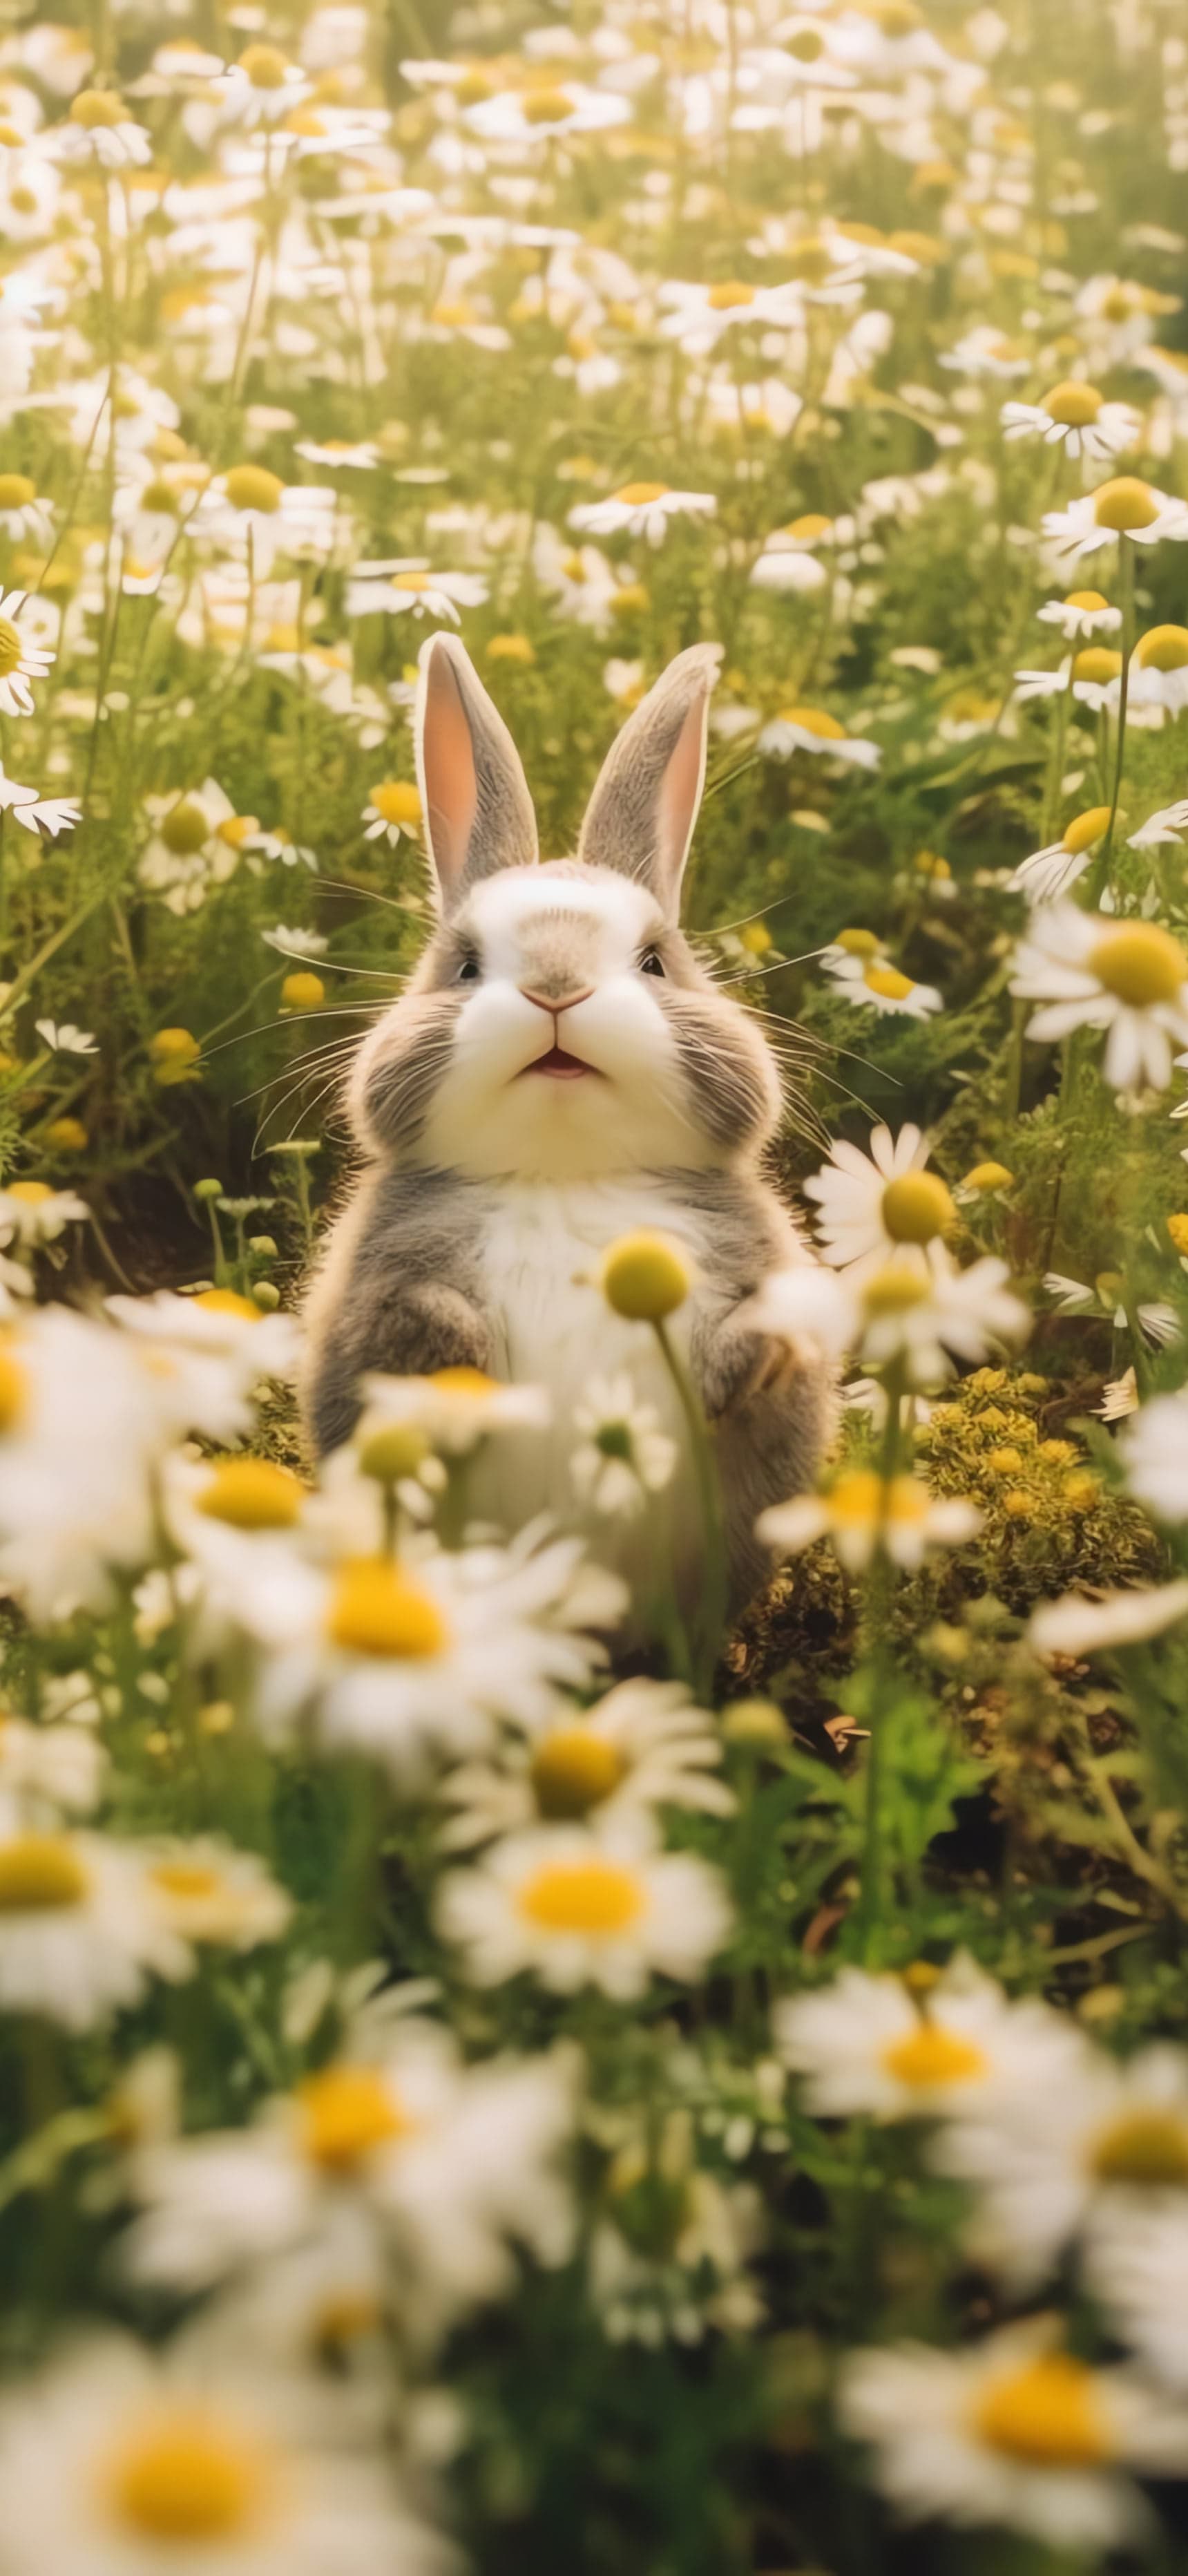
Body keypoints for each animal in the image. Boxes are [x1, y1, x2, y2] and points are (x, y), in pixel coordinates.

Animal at [302, 632, 835, 1611]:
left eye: (656, 962)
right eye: (465, 966)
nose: (557, 988)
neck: (565, 1177)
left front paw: (762, 1356)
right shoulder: (368, 1292)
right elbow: (394, 1319)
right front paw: (455, 1347)